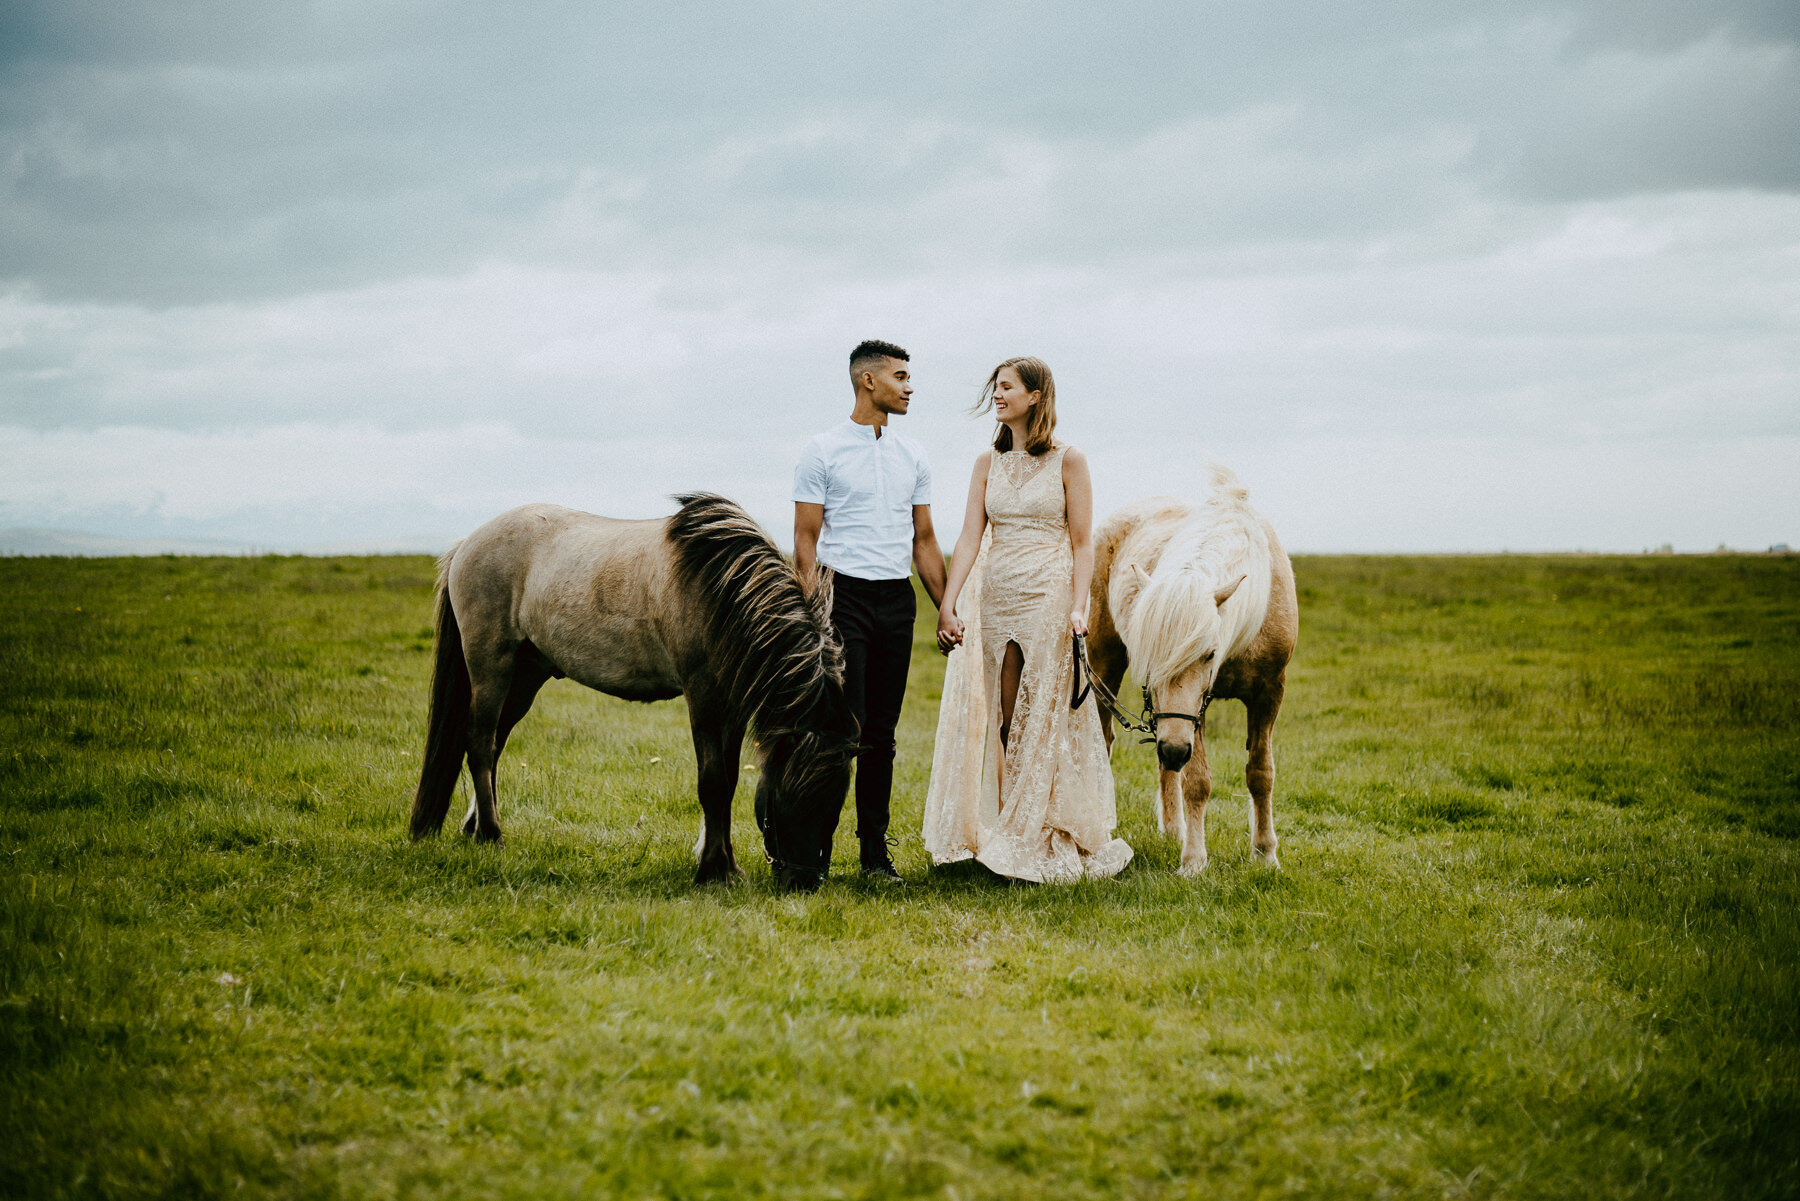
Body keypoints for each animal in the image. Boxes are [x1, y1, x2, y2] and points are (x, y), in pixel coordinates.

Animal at [408, 489, 856, 893]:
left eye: (836, 803)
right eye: (789, 794)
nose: (803, 883)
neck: (722, 589)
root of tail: (467, 544)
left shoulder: (731, 706)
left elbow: (728, 784)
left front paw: (726, 865)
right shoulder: (705, 699)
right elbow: (713, 783)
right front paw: (712, 871)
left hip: (524, 678)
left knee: (494, 745)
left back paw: (474, 829)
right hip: (491, 668)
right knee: (481, 744)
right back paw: (491, 834)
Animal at [1080, 468, 1296, 875]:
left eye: (1209, 654)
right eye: (1151, 657)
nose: (1175, 748)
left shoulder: (1268, 692)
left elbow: (1261, 773)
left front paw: (1265, 855)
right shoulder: (1195, 712)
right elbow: (1197, 782)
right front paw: (1194, 861)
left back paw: (1173, 831)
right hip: (1104, 665)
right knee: (1106, 742)